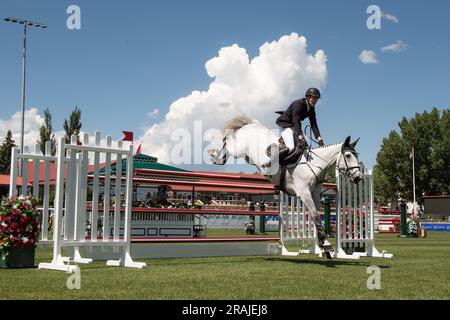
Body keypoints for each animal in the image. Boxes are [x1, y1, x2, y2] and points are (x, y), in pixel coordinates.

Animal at [208, 115, 362, 258]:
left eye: (357, 156)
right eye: (348, 155)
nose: (358, 178)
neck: (313, 165)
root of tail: (252, 125)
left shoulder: (315, 194)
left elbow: (316, 216)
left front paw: (323, 246)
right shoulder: (304, 193)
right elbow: (315, 215)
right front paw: (326, 244)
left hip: (246, 155)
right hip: (238, 148)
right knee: (227, 141)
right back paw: (214, 155)